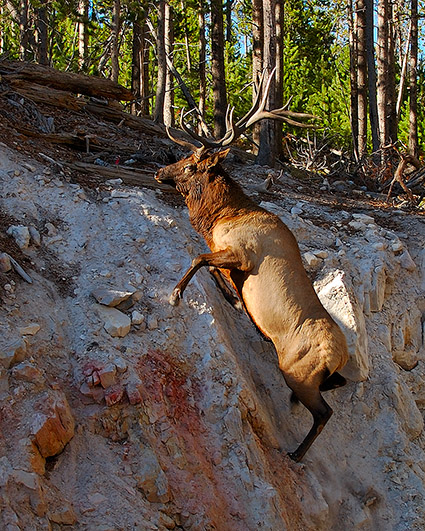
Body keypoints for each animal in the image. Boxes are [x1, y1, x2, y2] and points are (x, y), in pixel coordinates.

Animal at [156, 70, 348, 462]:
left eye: (189, 165)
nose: (158, 171)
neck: (221, 217)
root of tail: (341, 357)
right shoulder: (229, 259)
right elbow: (213, 269)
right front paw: (233, 300)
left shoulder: (243, 254)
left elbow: (199, 258)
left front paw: (176, 293)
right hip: (317, 376)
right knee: (337, 387)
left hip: (298, 372)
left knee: (324, 412)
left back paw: (296, 453)